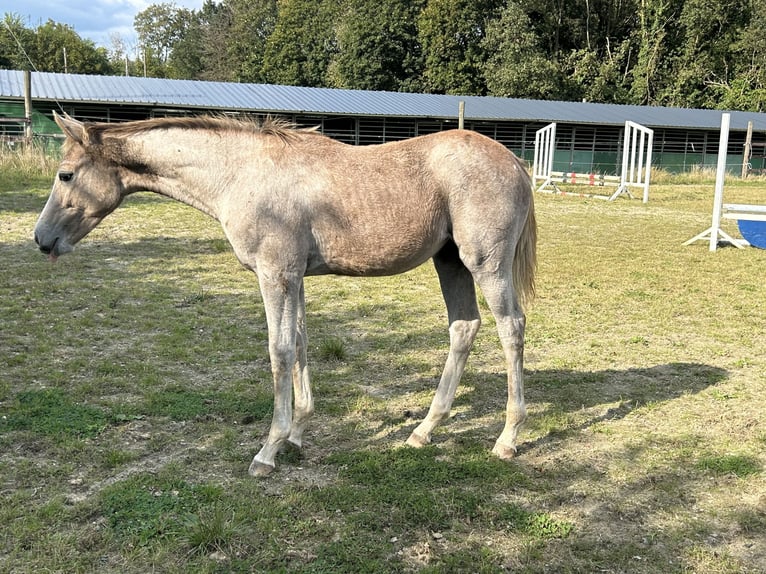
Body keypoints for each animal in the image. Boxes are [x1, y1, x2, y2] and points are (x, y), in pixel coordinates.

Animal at [34, 113, 540, 476]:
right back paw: (424, 430)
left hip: (485, 264)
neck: (239, 174)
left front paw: (268, 450)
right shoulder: (294, 278)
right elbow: (299, 345)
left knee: (511, 328)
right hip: (450, 262)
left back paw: (507, 438)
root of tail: (514, 162)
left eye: (65, 175)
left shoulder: (274, 274)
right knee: (464, 328)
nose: (41, 239)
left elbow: (278, 351)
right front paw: (296, 434)